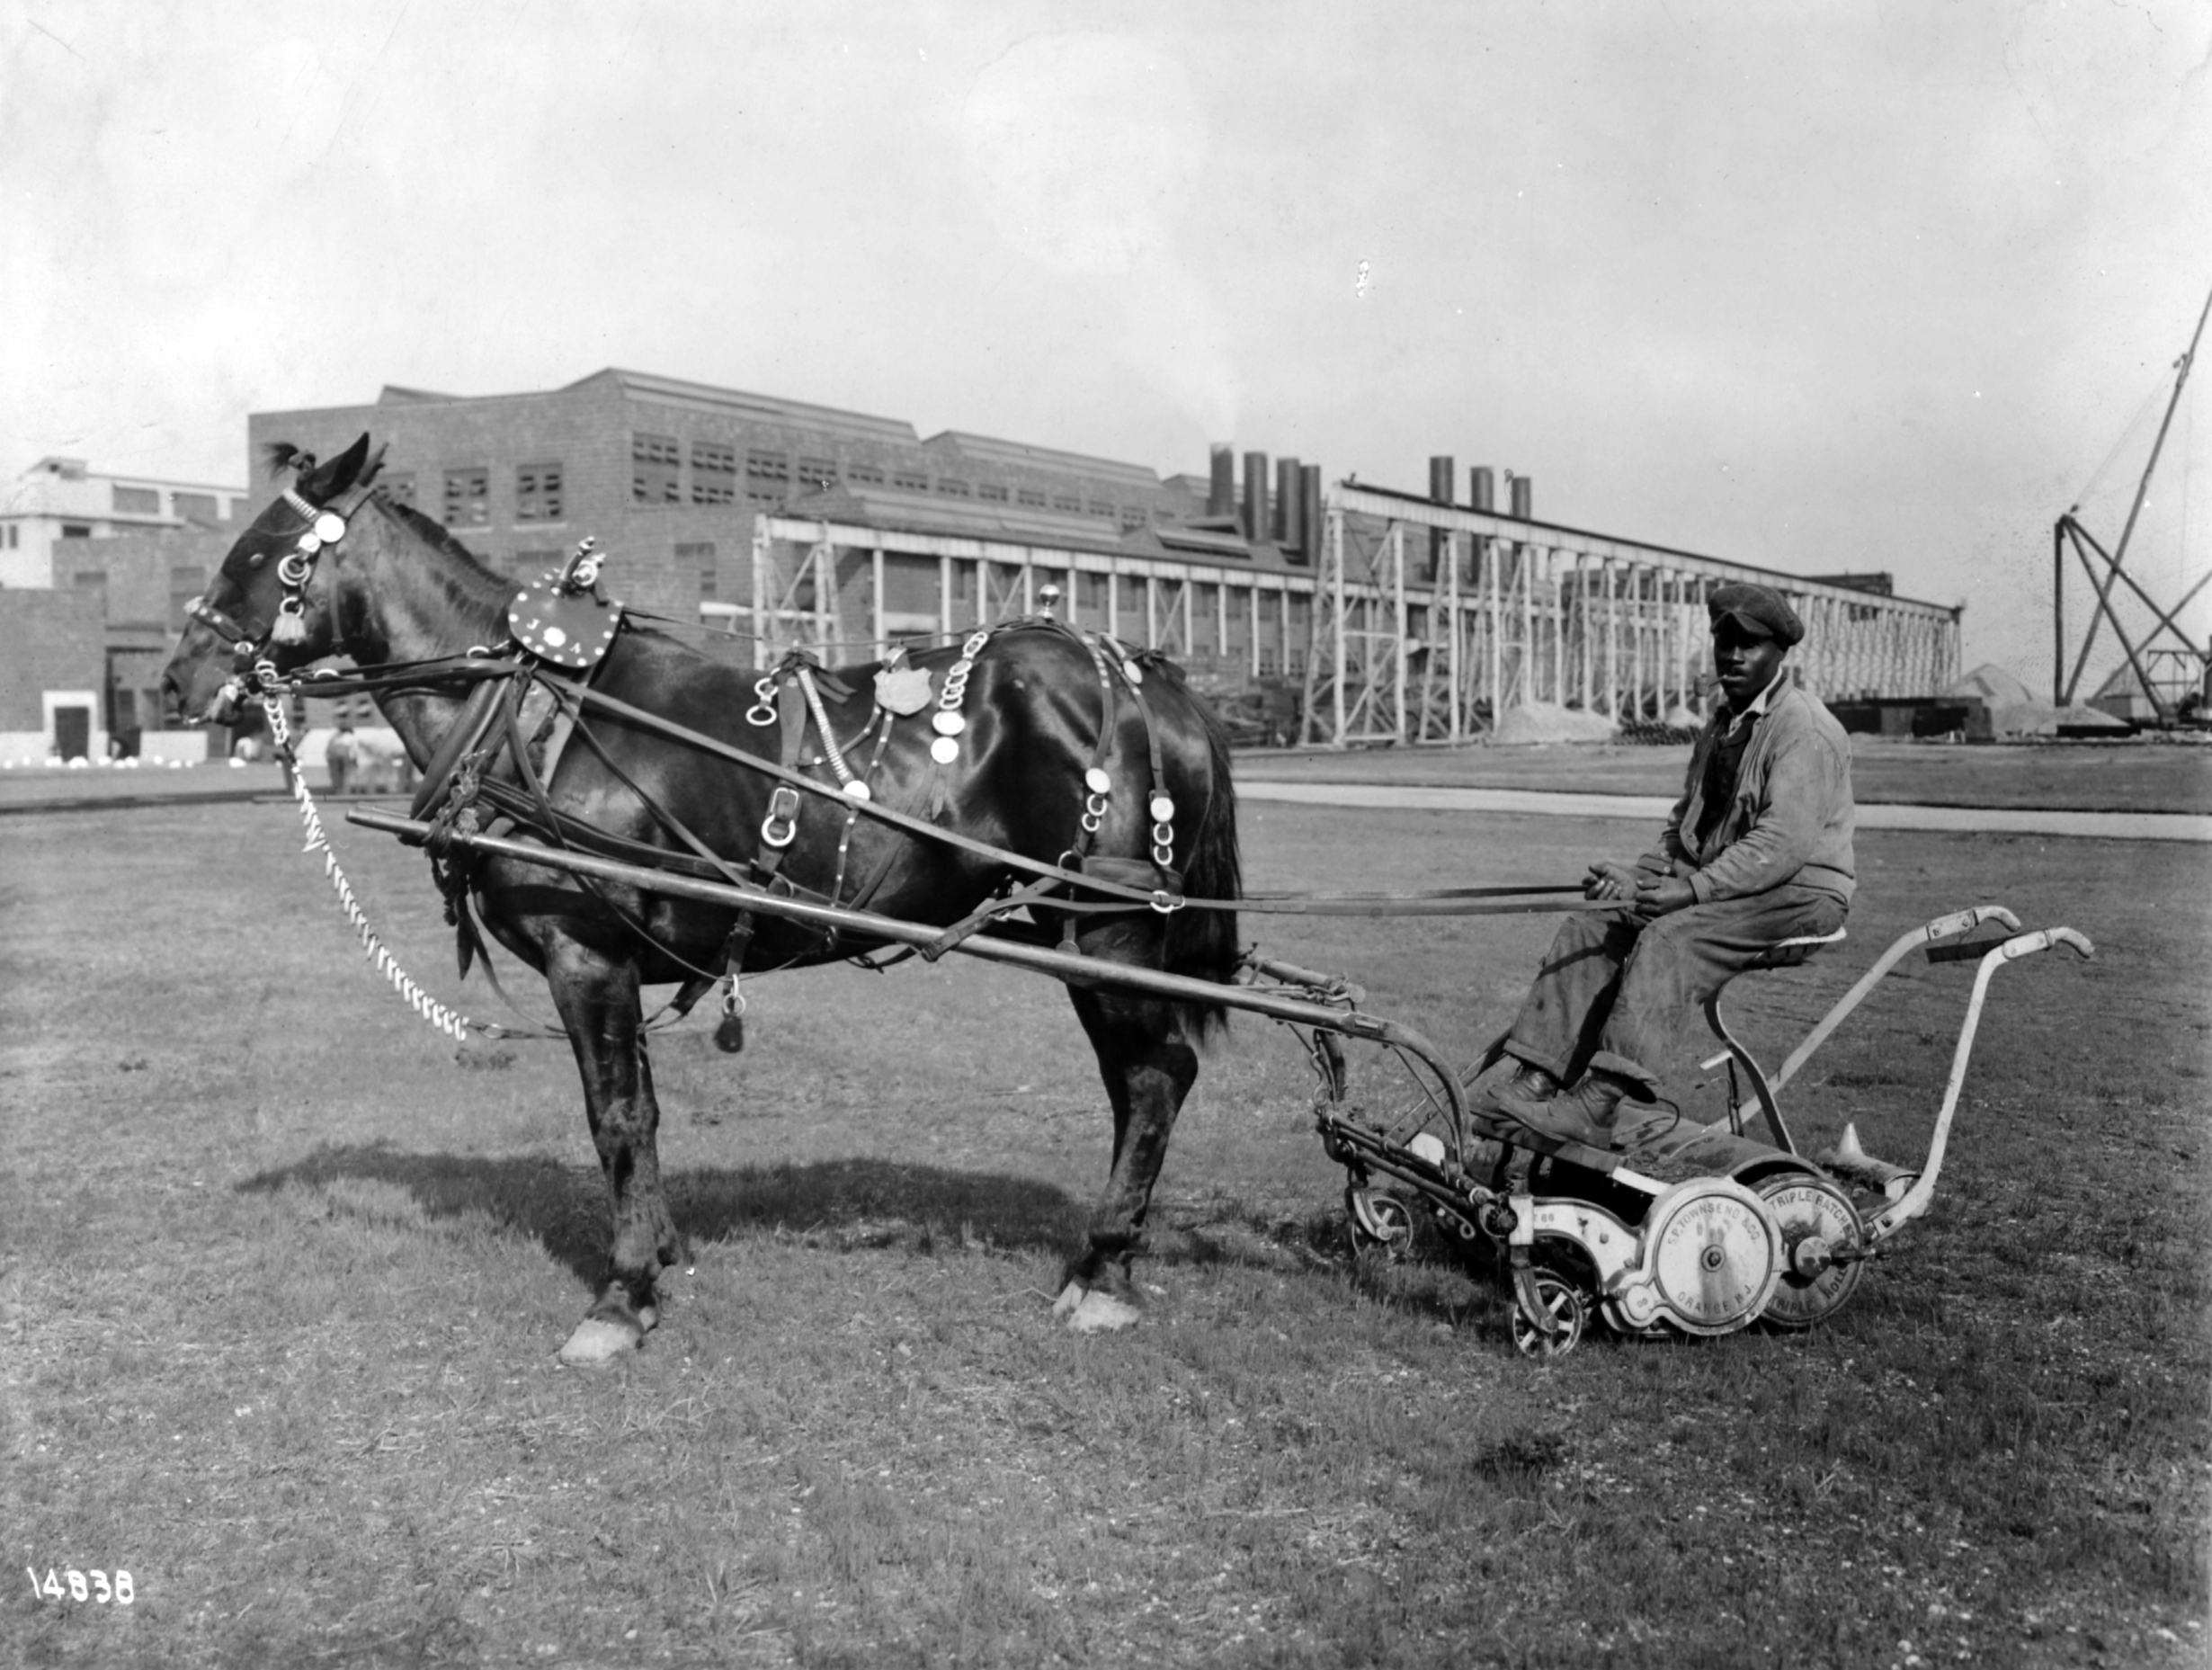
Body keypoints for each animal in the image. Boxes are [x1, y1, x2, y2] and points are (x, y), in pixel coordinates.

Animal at [167, 438, 1247, 1362]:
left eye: (258, 553)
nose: (180, 674)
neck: (534, 710)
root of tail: (1149, 677)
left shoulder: (583, 954)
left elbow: (613, 1118)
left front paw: (620, 1296)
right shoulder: (614, 962)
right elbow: (642, 1112)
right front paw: (658, 1255)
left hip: (1105, 926)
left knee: (1157, 1077)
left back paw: (1106, 1271)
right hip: (1075, 929)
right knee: (1137, 1079)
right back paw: (1102, 1257)